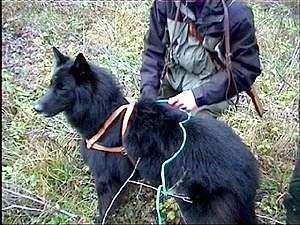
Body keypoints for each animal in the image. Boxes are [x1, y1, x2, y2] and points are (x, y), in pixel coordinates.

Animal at [34, 47, 258, 223]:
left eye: (62, 89)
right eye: (51, 84)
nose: (36, 107)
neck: (106, 115)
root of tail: (248, 171)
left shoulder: (107, 179)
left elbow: (105, 208)